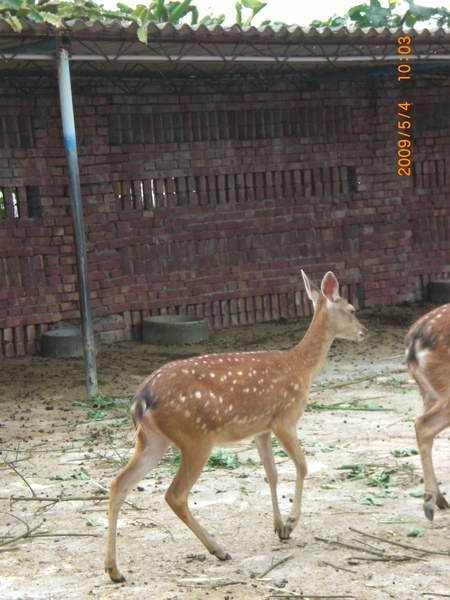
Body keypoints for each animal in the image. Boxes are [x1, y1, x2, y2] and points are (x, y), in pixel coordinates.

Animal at [104, 270, 366, 580]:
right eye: (352, 310)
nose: (364, 332)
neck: (301, 367)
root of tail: (142, 398)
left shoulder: (261, 429)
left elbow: (272, 473)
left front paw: (279, 527)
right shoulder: (285, 418)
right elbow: (302, 466)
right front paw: (291, 522)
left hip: (152, 440)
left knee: (118, 484)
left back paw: (114, 570)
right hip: (195, 438)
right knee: (175, 494)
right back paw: (219, 549)